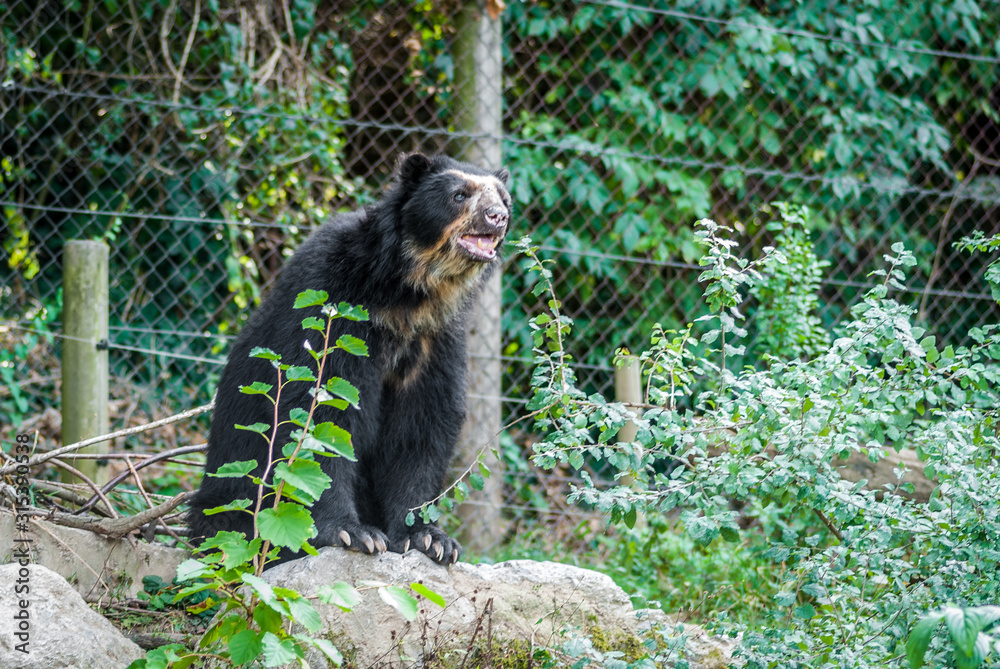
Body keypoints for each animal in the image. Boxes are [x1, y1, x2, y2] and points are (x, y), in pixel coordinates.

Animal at [187, 153, 512, 566]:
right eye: (459, 195)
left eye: (503, 197)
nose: (497, 217)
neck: (409, 295)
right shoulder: (333, 306)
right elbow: (322, 411)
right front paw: (352, 534)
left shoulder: (435, 339)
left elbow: (424, 423)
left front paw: (430, 539)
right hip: (231, 494)